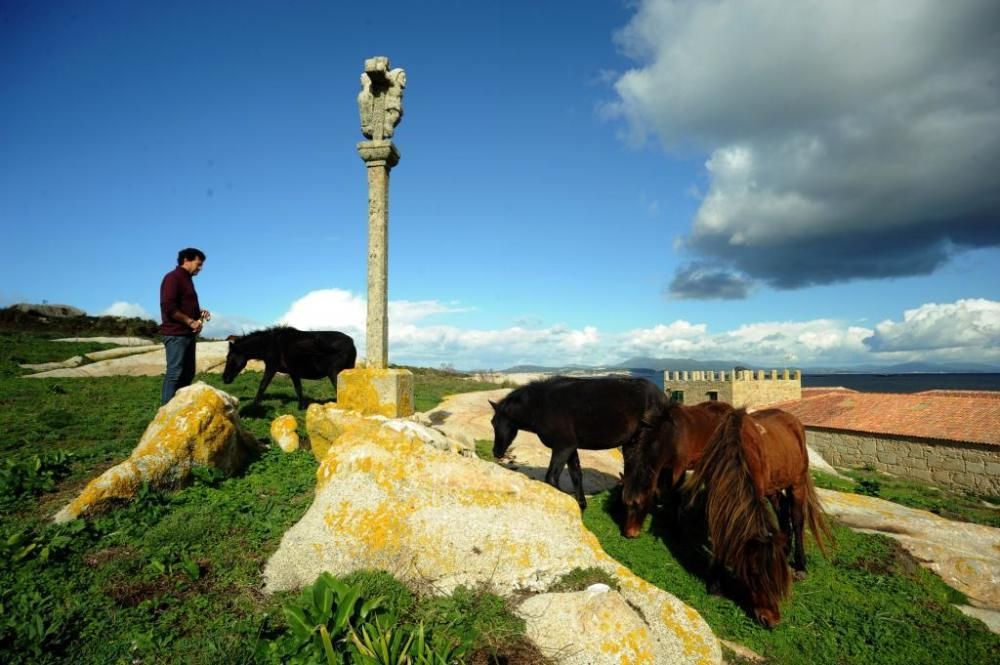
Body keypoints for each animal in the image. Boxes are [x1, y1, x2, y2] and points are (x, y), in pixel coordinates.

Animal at [222, 324, 356, 408]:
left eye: (229, 358)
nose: (225, 379)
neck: (271, 344)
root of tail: (351, 342)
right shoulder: (290, 371)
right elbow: (298, 389)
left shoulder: (276, 368)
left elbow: (263, 386)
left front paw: (254, 405)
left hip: (334, 373)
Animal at [490, 376, 668, 510]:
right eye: (492, 422)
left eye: (500, 424)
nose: (496, 452)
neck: (541, 406)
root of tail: (662, 397)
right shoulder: (570, 448)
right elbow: (576, 475)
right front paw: (581, 506)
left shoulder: (563, 447)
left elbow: (551, 478)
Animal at [616, 396, 736, 536]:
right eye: (624, 503)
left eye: (640, 502)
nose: (629, 533)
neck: (669, 436)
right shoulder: (662, 468)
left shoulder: (679, 468)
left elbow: (675, 495)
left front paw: (676, 527)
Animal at [680, 404, 836, 628]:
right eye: (753, 573)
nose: (771, 620)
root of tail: (794, 422)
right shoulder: (716, 497)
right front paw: (716, 586)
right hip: (773, 486)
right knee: (782, 509)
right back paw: (785, 549)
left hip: (796, 483)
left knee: (797, 519)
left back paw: (800, 565)